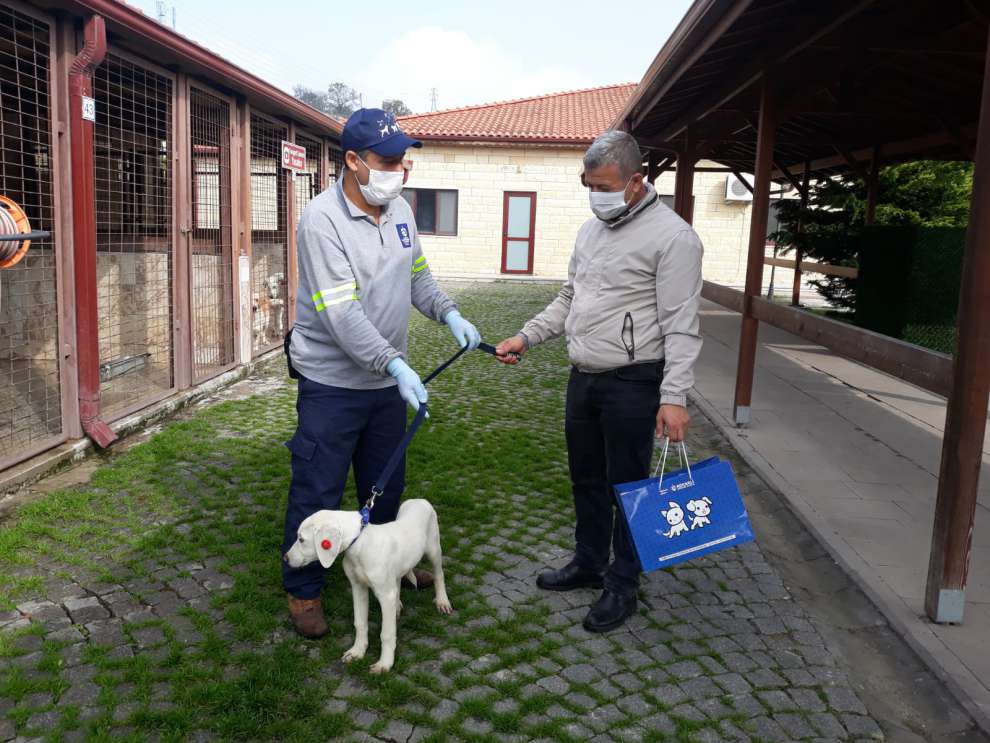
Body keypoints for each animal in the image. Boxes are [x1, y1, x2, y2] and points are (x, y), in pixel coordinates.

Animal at [282, 500, 454, 676]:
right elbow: (360, 623)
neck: (360, 544)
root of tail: (419, 500)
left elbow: (387, 633)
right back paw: (397, 606)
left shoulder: (385, 595)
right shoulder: (358, 588)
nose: (285, 558)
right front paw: (357, 652)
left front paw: (384, 664)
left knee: (439, 575)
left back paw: (442, 601)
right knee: (398, 582)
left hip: (433, 549)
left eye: (301, 539)